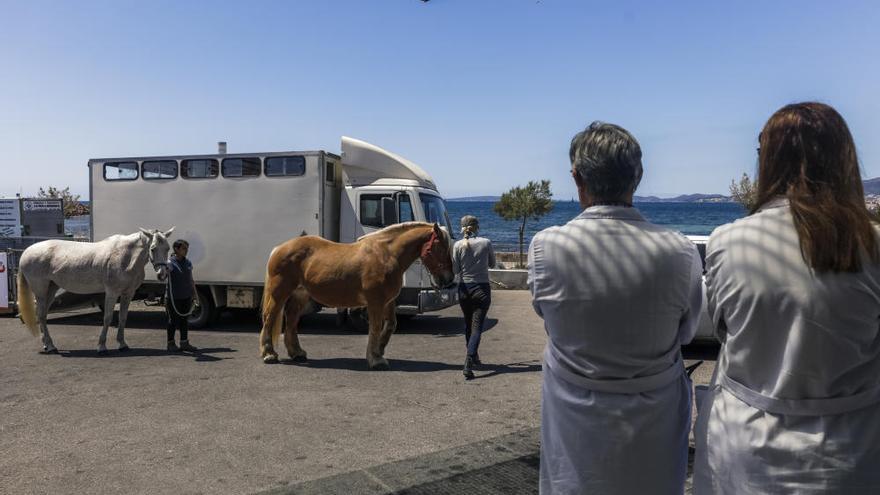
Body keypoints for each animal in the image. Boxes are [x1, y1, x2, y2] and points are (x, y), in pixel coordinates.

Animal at [16, 231, 174, 354]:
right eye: (153, 248)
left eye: (167, 248)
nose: (162, 274)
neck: (126, 256)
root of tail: (26, 252)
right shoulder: (112, 292)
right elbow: (107, 318)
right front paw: (101, 346)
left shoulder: (128, 293)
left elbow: (123, 318)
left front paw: (122, 344)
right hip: (40, 291)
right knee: (41, 315)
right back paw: (50, 347)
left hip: (51, 289)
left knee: (42, 315)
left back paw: (47, 344)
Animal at [258, 223, 454, 370]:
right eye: (441, 248)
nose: (449, 279)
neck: (386, 255)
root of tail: (279, 248)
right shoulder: (375, 302)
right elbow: (375, 327)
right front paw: (375, 359)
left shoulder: (388, 302)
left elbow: (391, 325)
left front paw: (380, 350)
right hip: (279, 292)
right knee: (270, 317)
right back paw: (269, 354)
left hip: (300, 294)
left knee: (291, 320)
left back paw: (297, 352)